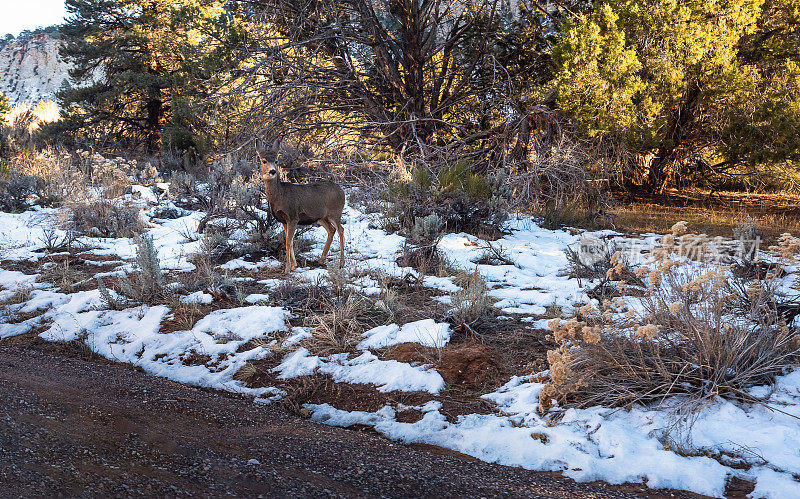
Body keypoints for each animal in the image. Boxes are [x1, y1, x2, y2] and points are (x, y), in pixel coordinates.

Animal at [256, 145, 344, 276]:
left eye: (276, 161)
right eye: (264, 161)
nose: (272, 171)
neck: (279, 195)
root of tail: (342, 191)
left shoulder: (293, 216)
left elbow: (288, 242)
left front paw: (287, 269)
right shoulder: (283, 220)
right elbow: (290, 241)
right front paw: (294, 266)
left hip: (335, 212)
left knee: (340, 229)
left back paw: (341, 263)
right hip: (321, 217)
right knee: (331, 230)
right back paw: (321, 260)